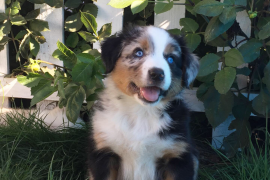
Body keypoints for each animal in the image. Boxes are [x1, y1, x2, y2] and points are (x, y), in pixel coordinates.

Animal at [87, 25, 199, 180]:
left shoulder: (178, 157)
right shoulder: (104, 153)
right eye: (138, 52)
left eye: (171, 59)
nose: (157, 74)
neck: (141, 112)